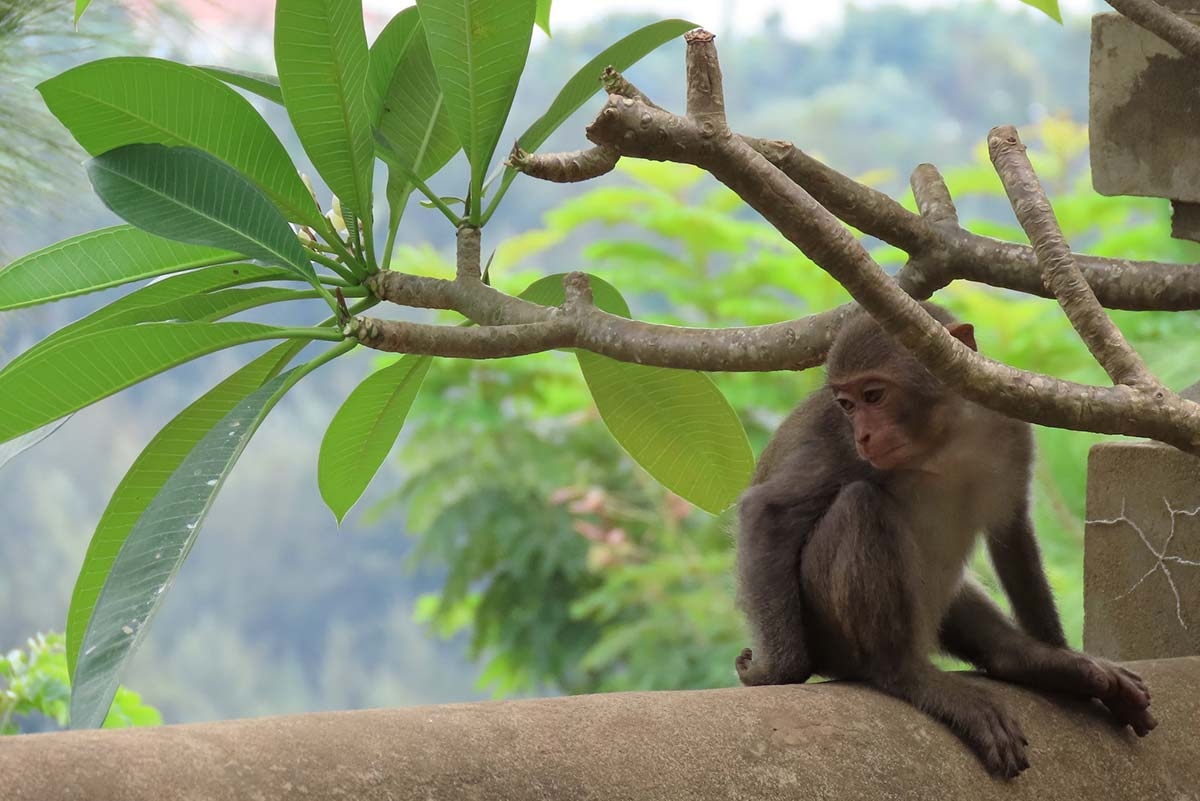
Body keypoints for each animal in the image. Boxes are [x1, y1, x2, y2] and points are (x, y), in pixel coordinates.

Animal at [734, 303, 1157, 778]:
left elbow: (1011, 530)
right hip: (830, 635)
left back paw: (1030, 660)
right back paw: (906, 675)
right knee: (861, 505)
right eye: (846, 405)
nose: (864, 434)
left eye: (873, 396)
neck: (944, 435)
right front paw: (777, 671)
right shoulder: (838, 441)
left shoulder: (1007, 418)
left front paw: (1063, 653)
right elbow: (769, 513)